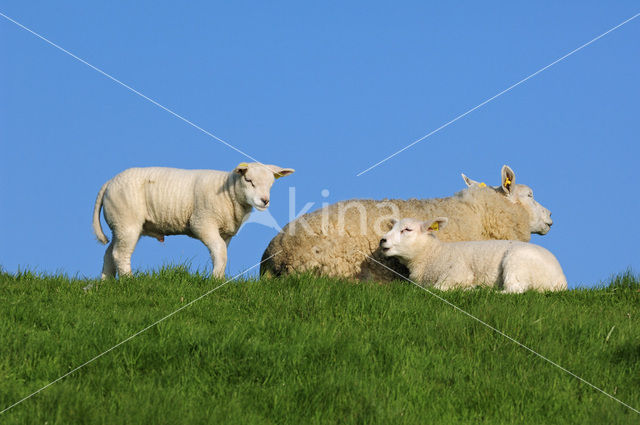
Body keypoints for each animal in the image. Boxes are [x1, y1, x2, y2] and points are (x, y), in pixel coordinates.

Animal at [90, 162, 296, 278]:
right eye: (249, 181)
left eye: (271, 184)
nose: (265, 201)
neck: (229, 193)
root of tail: (110, 182)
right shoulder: (202, 222)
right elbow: (220, 251)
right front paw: (216, 279)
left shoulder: (225, 233)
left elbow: (221, 252)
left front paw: (219, 276)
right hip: (127, 222)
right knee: (120, 254)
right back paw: (129, 280)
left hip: (119, 224)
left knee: (109, 253)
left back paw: (106, 282)